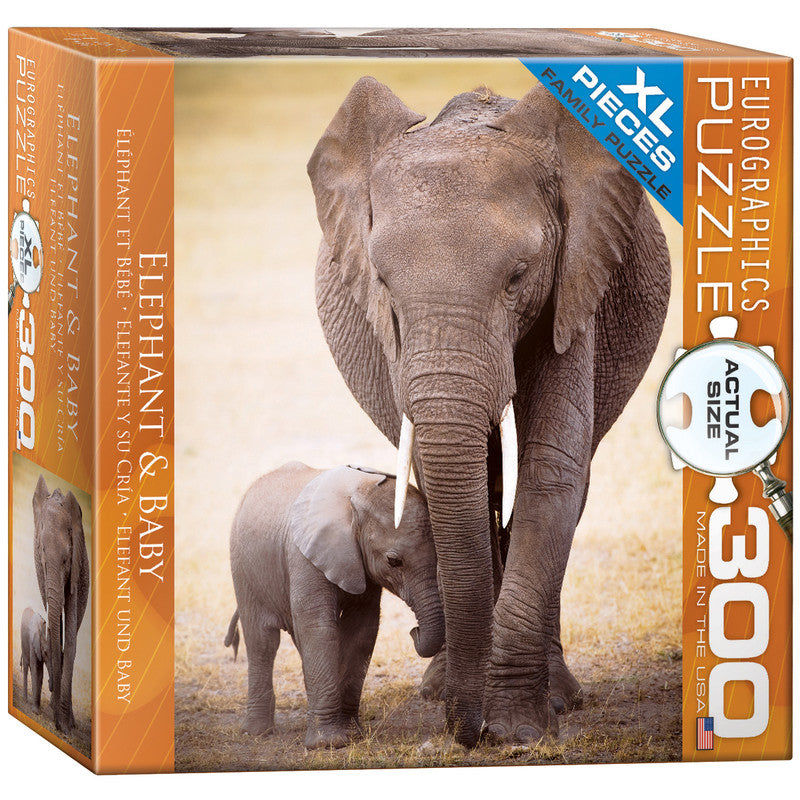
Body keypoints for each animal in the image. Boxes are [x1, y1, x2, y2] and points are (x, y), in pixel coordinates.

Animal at [225, 462, 444, 749]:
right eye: (393, 561)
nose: (414, 631)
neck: (358, 495)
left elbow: (362, 630)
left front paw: (352, 734)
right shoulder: (304, 556)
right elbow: (319, 628)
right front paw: (328, 744)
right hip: (243, 569)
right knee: (262, 641)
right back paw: (257, 732)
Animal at [307, 78, 671, 747]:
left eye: (519, 276)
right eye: (382, 283)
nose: (465, 731)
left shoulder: (575, 280)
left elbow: (552, 467)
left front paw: (520, 731)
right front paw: (475, 712)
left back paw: (558, 698)